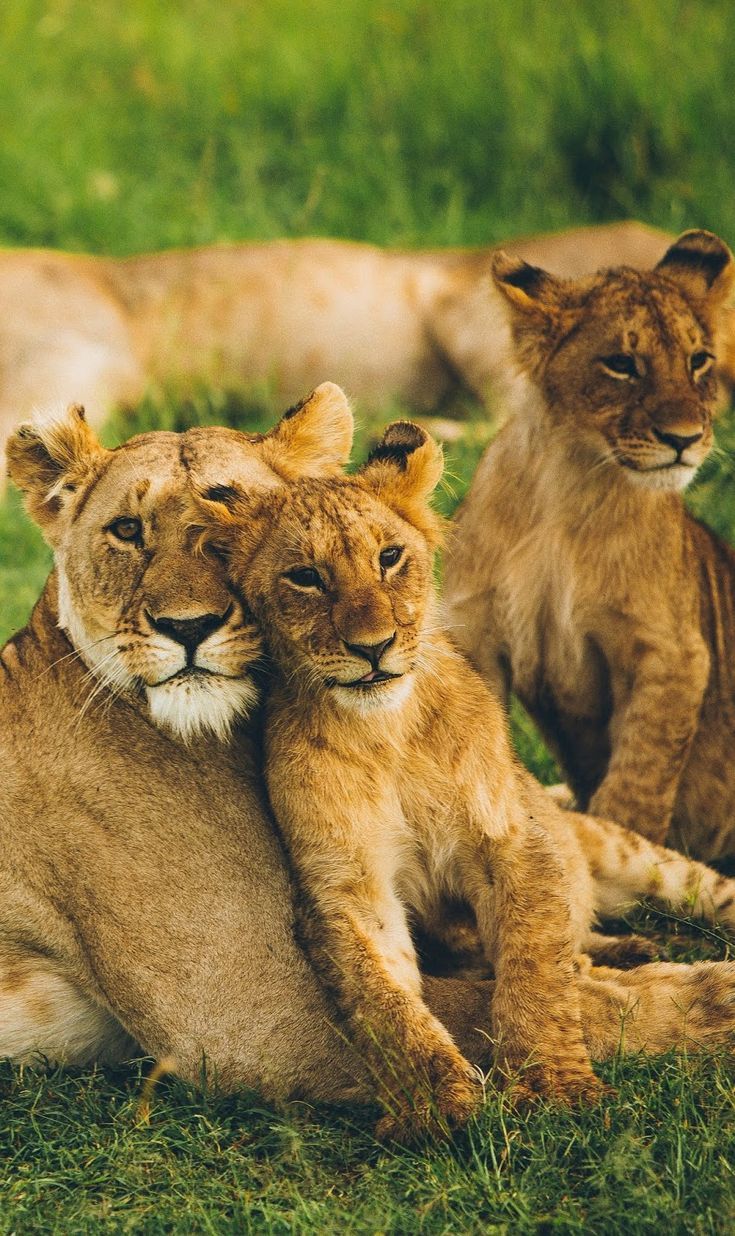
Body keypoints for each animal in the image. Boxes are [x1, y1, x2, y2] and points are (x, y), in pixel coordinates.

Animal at [197, 385, 735, 1138]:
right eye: (304, 578)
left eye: (390, 557)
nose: (372, 647)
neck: (385, 732)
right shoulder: (345, 887)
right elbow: (386, 1004)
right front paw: (436, 1107)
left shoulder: (513, 840)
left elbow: (534, 967)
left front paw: (552, 1085)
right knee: (576, 939)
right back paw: (621, 950)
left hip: (624, 848)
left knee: (692, 893)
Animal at [443, 228, 735, 862]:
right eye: (622, 364)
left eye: (699, 361)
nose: (685, 439)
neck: (568, 484)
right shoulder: (476, 632)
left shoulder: (673, 651)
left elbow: (638, 782)